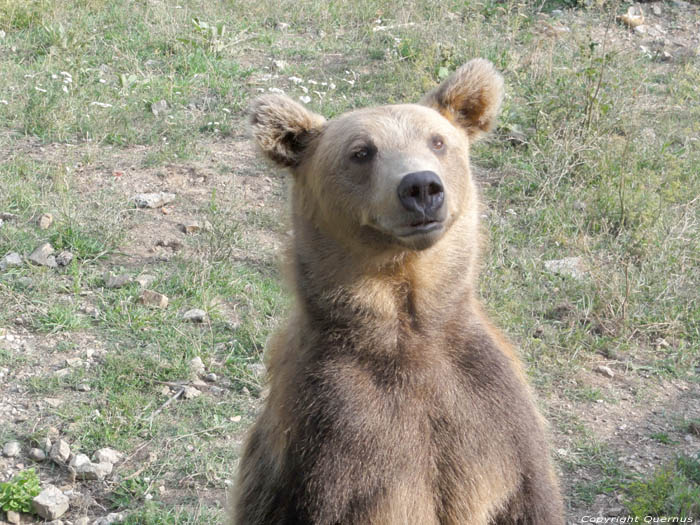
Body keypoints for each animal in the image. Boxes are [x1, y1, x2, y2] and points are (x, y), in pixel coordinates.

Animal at [232, 58, 568, 524]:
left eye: (438, 141)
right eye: (361, 151)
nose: (421, 186)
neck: (409, 325)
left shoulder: (494, 419)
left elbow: (526, 498)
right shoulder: (332, 441)